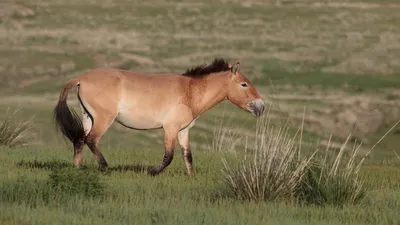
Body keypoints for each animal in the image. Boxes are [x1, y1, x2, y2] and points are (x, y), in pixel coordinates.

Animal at [54, 58, 266, 176]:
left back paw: (78, 168)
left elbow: (188, 156)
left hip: (88, 117)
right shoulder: (170, 129)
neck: (189, 91)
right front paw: (152, 172)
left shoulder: (183, 131)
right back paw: (105, 167)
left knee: (80, 140)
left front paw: (192, 177)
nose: (261, 106)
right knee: (91, 140)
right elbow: (168, 156)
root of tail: (80, 79)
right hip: (104, 119)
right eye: (244, 84)